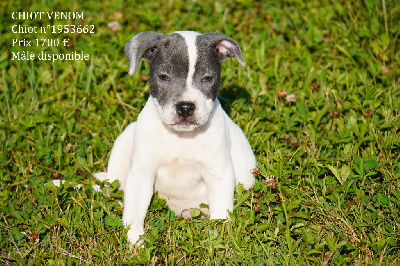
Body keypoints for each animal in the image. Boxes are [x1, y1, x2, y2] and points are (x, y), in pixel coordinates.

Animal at [93, 30, 256, 245]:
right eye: (163, 77)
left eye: (207, 78)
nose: (185, 107)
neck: (181, 138)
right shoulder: (141, 175)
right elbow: (133, 214)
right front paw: (136, 243)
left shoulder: (219, 175)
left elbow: (220, 216)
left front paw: (219, 243)